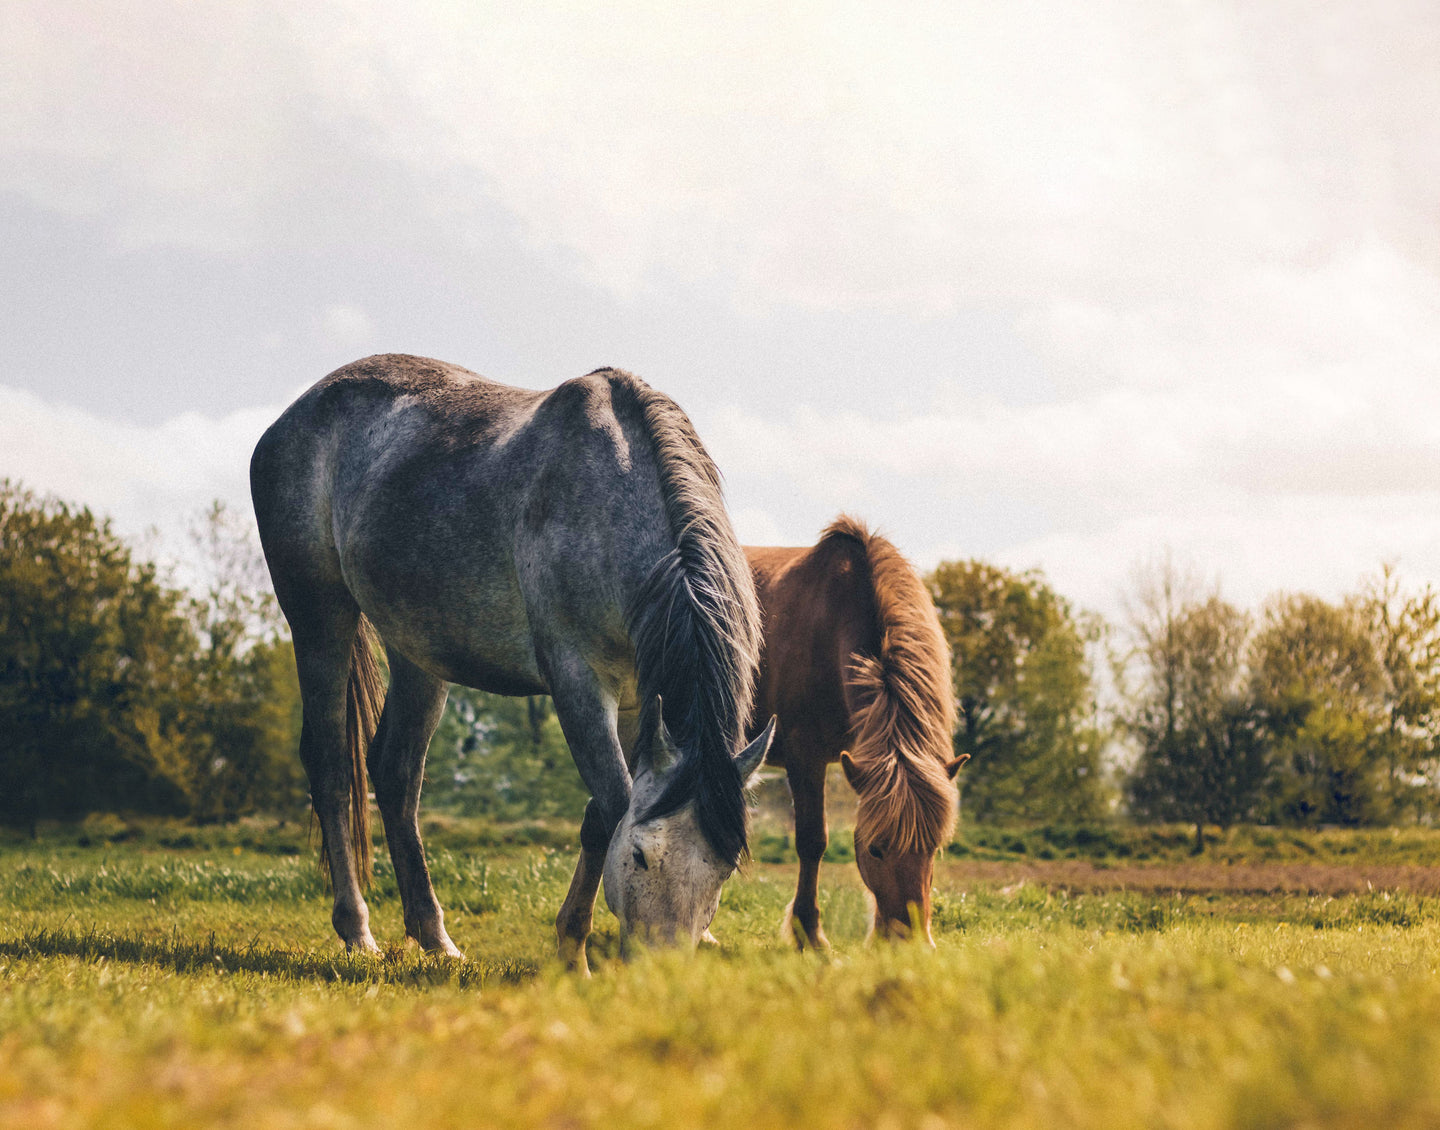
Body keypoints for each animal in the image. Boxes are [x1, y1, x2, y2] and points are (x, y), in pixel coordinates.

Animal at [247, 355, 777, 967]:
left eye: (723, 870)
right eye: (642, 856)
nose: (660, 971)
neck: (611, 499)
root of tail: (292, 417)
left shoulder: (637, 700)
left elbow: (601, 814)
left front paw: (570, 942)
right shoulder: (577, 681)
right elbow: (613, 805)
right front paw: (573, 951)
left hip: (417, 652)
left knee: (395, 773)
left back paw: (435, 938)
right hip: (319, 618)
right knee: (333, 766)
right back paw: (357, 930)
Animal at [743, 518, 967, 944]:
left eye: (933, 848)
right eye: (876, 849)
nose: (909, 942)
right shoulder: (805, 757)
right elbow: (812, 841)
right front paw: (810, 935)